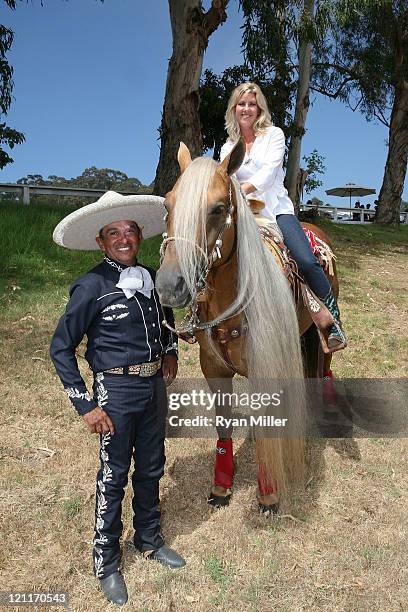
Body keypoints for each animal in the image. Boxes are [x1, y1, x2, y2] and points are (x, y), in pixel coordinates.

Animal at [156, 139, 338, 512]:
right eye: (167, 205)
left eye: (217, 208)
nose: (169, 285)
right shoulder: (214, 369)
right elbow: (224, 425)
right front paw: (221, 485)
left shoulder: (264, 362)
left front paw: (268, 492)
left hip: (322, 335)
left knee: (325, 364)